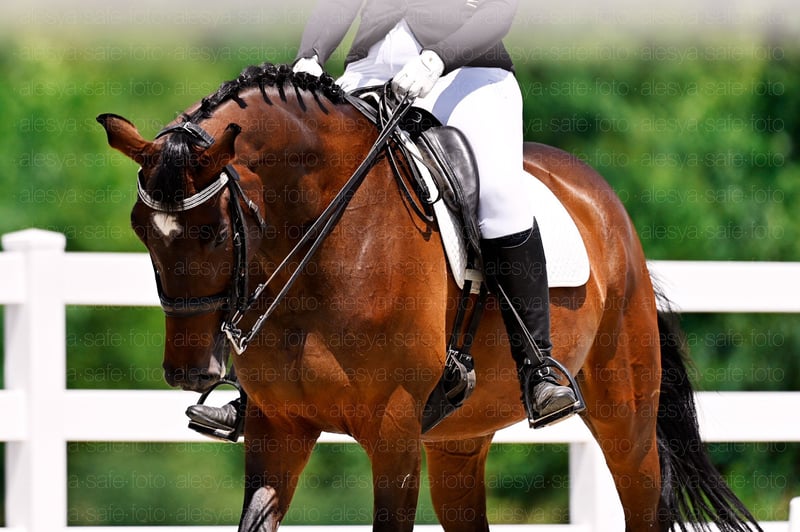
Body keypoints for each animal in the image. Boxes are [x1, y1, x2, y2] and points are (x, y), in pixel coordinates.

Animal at [97, 63, 761, 532]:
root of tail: (603, 199)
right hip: (458, 441)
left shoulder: (393, 432)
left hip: (625, 416)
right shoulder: (276, 426)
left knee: (644, 498)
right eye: (139, 227)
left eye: (214, 231)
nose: (189, 372)